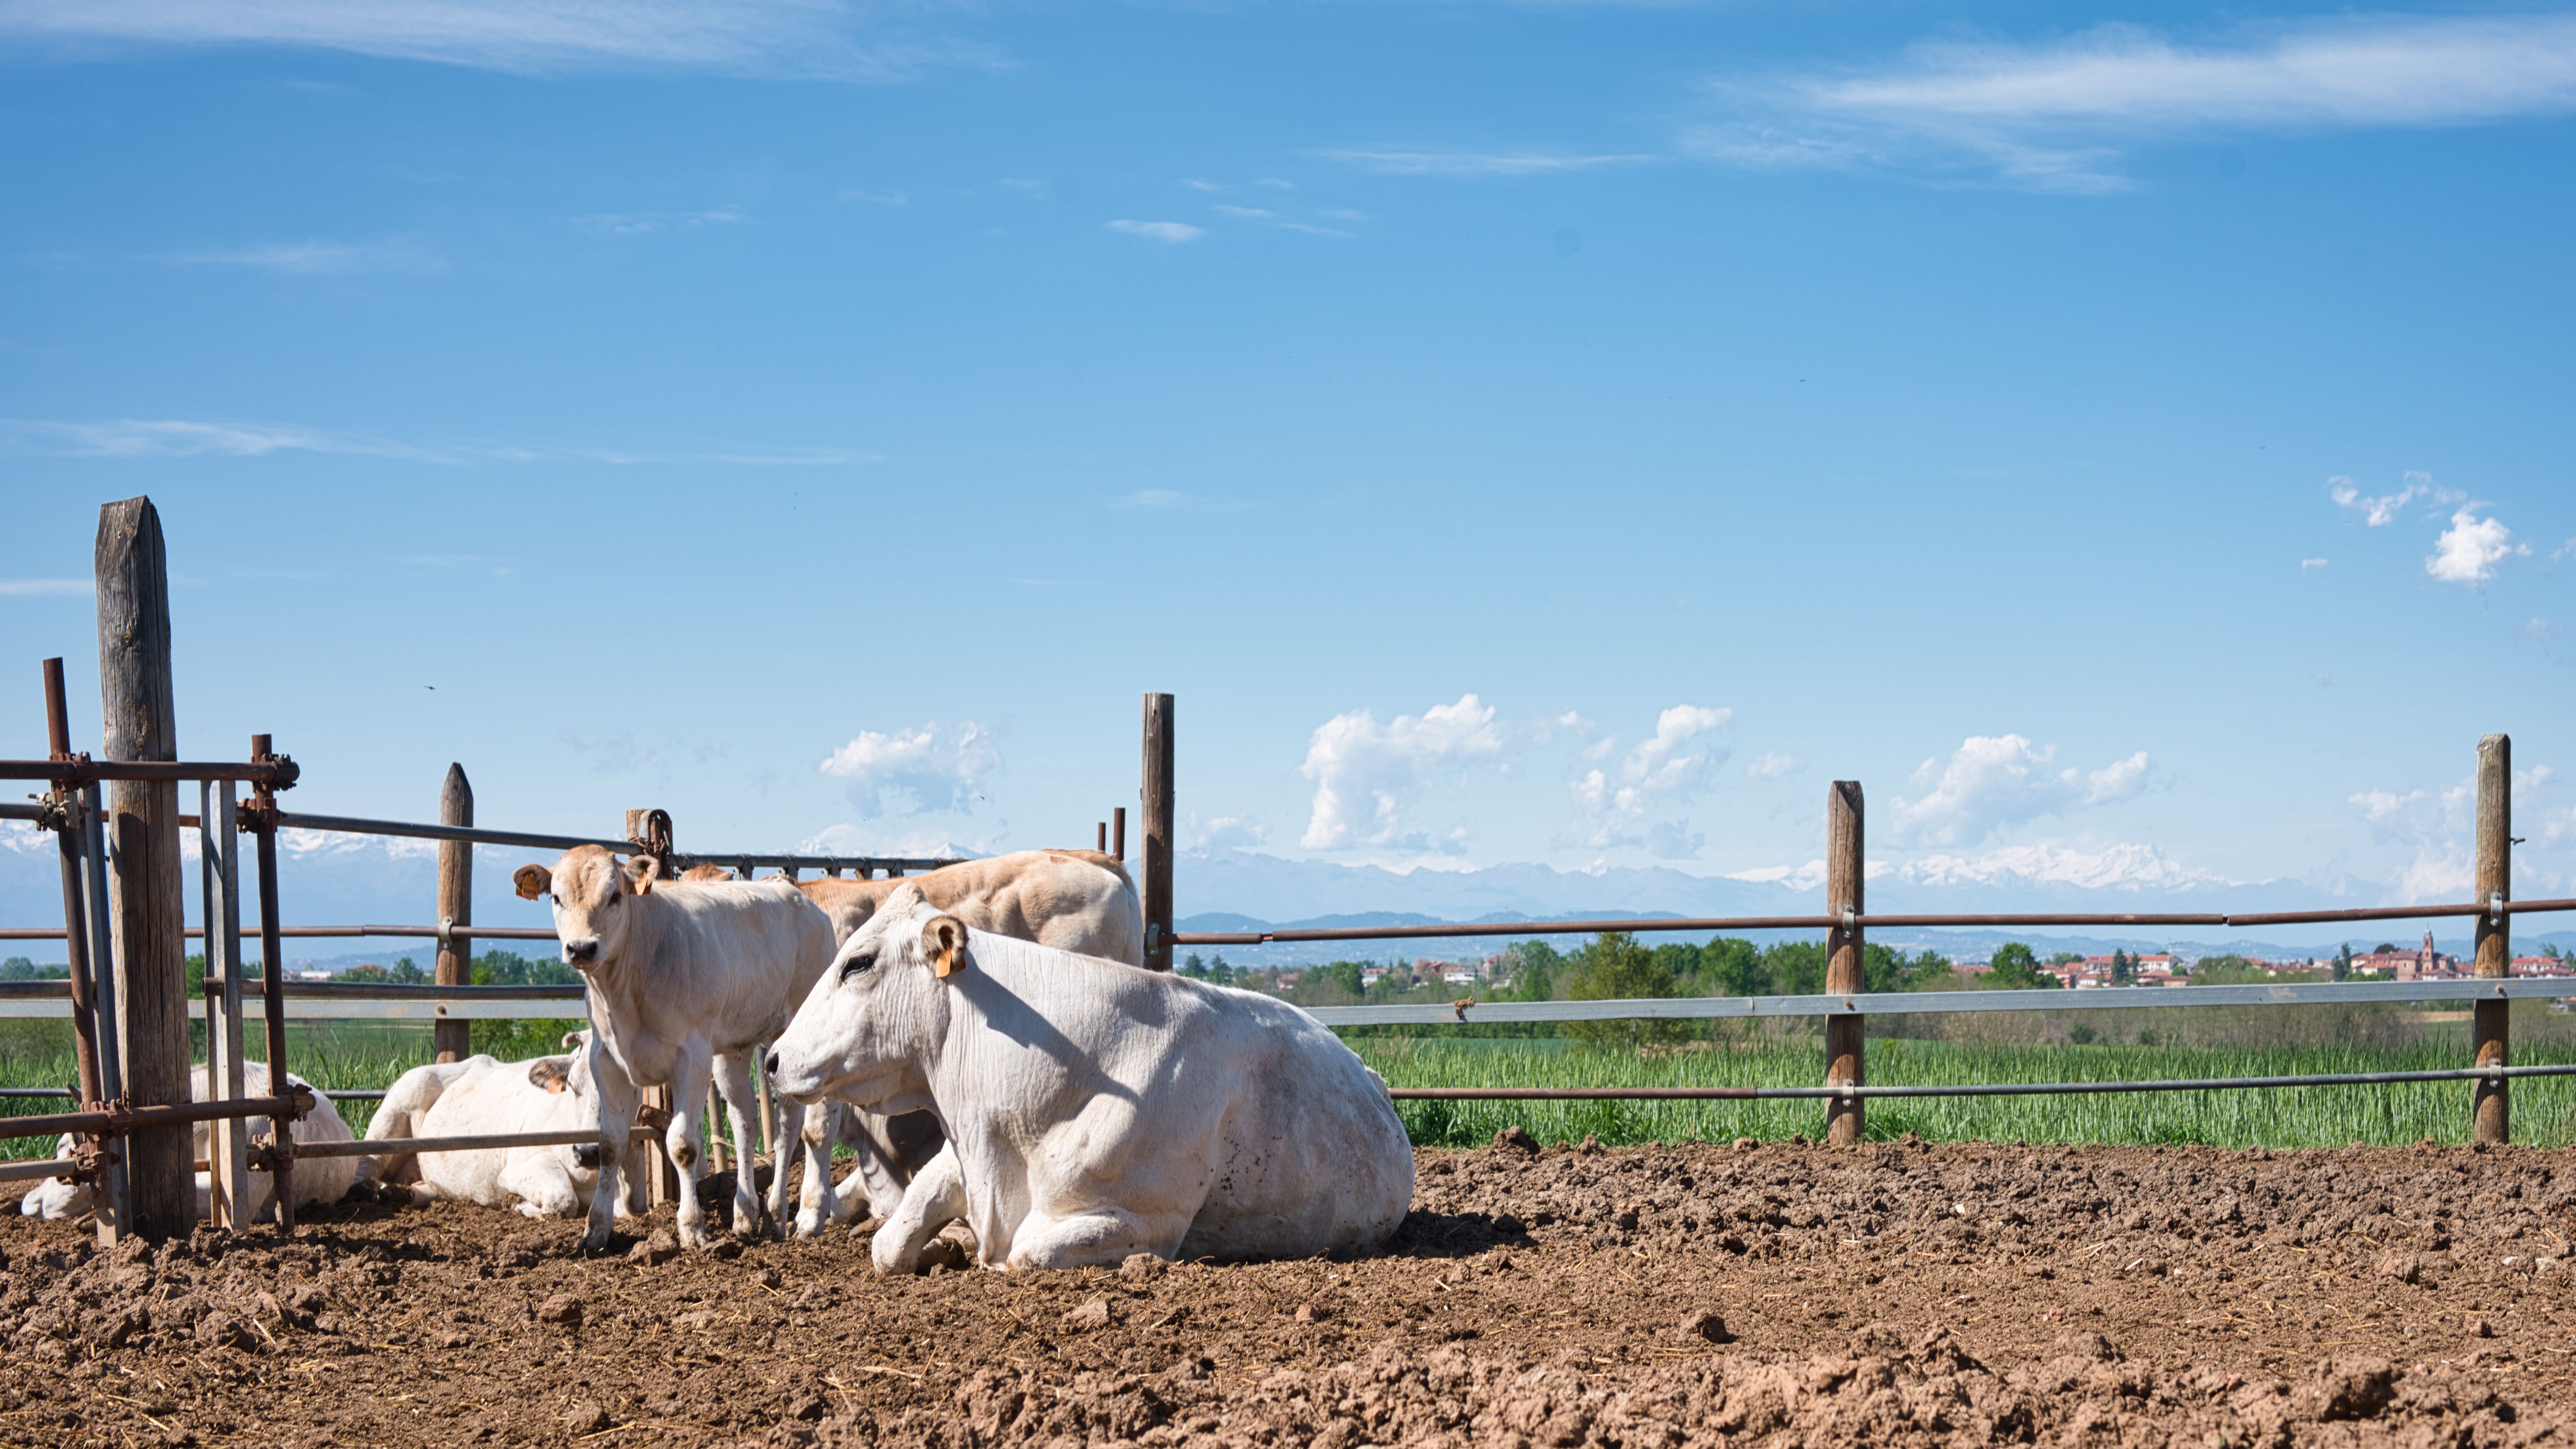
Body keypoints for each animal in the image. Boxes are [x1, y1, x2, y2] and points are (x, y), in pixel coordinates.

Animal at [361, 1037, 606, 1218]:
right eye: (572, 1085)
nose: (588, 1152)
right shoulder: (518, 1164)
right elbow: (563, 1200)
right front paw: (518, 1204)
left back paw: (399, 1193)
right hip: (395, 1108)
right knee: (367, 1166)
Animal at [513, 845, 839, 1252]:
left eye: (615, 896)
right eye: (557, 898)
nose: (582, 948)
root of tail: (795, 894)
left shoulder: (692, 1058)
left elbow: (683, 1144)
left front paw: (692, 1228)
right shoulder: (608, 1063)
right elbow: (610, 1145)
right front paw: (595, 1230)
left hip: (796, 1035)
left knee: (797, 1125)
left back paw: (790, 1214)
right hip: (731, 1050)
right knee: (745, 1119)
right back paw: (746, 1214)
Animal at [765, 884, 1415, 1272]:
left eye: (857, 963)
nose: (772, 1060)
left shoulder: (1149, 1223)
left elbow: (1025, 1251)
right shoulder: (964, 1152)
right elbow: (890, 1240)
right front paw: (946, 1240)